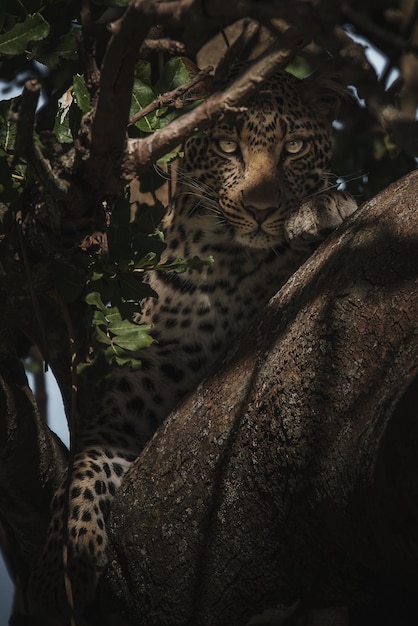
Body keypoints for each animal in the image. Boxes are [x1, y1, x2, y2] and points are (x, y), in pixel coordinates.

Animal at [28, 68, 356, 620]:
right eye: (227, 146)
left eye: (293, 147)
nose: (261, 211)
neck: (225, 265)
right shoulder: (134, 401)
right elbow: (83, 468)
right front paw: (60, 572)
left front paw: (325, 208)